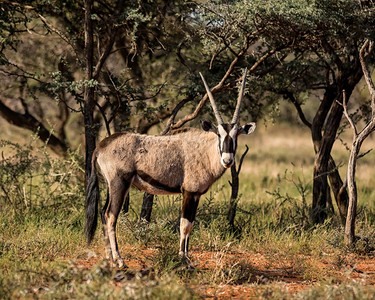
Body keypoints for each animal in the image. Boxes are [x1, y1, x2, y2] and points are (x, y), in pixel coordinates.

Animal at [85, 69, 256, 268]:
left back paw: (108, 258)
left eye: (236, 135)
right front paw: (184, 259)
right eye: (219, 135)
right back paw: (119, 260)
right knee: (111, 216)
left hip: (111, 186)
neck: (205, 150)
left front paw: (187, 257)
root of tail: (101, 146)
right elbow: (185, 224)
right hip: (119, 183)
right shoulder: (189, 192)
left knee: (103, 214)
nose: (227, 160)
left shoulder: (196, 195)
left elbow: (191, 223)